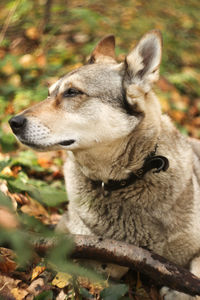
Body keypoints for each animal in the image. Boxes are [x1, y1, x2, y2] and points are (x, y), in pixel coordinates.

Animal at [9, 29, 200, 298]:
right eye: (49, 94)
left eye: (72, 92)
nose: (13, 122)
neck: (121, 183)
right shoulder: (74, 235)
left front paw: (179, 291)